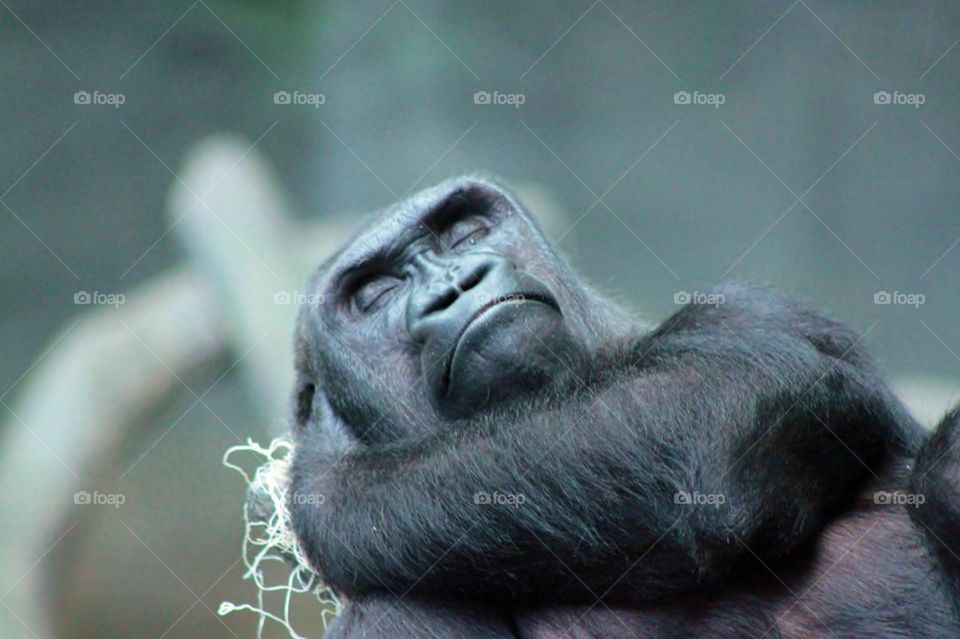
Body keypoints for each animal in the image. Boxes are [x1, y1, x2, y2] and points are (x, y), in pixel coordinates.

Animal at [284, 178, 960, 636]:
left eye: (465, 232)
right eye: (377, 292)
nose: (455, 284)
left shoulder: (753, 310)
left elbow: (729, 398)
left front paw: (332, 484)